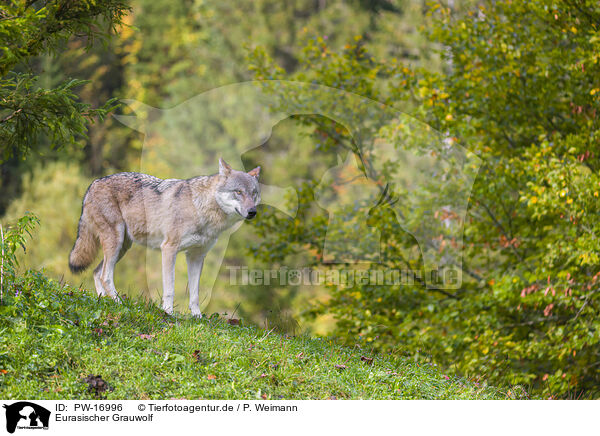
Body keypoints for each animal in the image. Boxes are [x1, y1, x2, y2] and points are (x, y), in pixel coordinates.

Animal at [68, 158, 260, 316]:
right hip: (116, 243)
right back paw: (119, 304)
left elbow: (195, 293)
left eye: (254, 193)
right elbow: (170, 288)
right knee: (105, 276)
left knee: (96, 272)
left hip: (122, 247)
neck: (200, 208)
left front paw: (197, 317)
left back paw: (105, 301)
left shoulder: (196, 256)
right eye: (238, 192)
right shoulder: (169, 249)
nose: (252, 212)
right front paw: (168, 312)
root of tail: (93, 183)